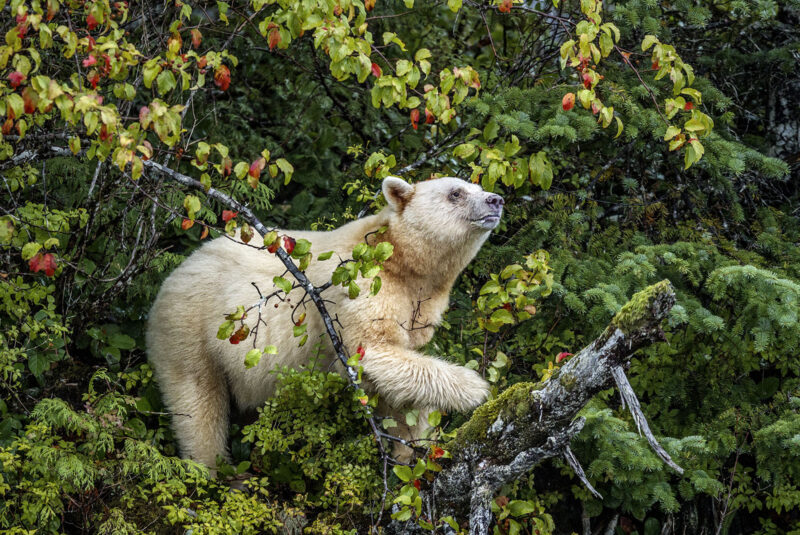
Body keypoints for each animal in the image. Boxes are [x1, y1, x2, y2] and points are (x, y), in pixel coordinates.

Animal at [147, 177, 504, 468]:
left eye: (477, 186)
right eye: (456, 192)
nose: (496, 200)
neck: (399, 261)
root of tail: (174, 275)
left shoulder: (420, 307)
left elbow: (401, 385)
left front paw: (411, 449)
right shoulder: (360, 287)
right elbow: (373, 351)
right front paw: (476, 388)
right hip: (191, 327)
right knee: (198, 403)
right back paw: (212, 469)